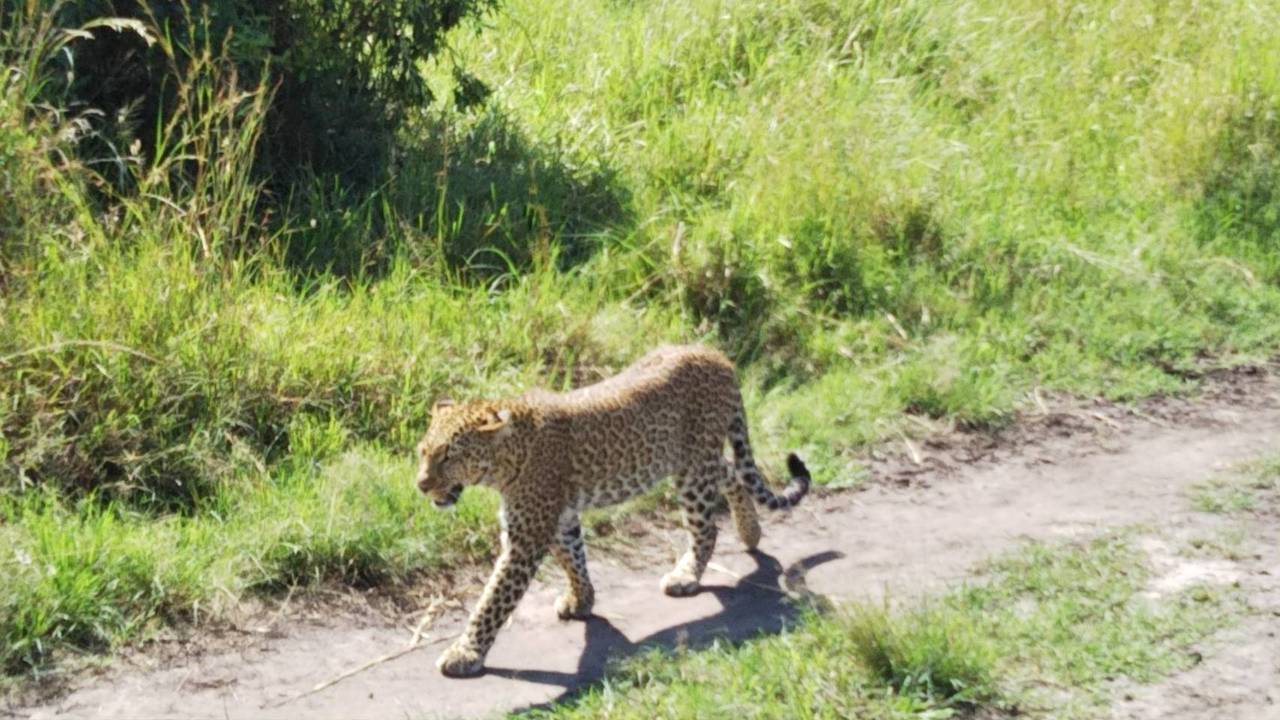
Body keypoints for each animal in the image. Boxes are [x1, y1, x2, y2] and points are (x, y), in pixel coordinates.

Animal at [412, 340, 808, 671]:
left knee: (707, 526)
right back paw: (750, 531)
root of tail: (715, 353)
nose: (421, 485)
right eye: (423, 452)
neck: (508, 457)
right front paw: (581, 600)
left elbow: (493, 600)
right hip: (694, 460)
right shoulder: (560, 516)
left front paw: (465, 653)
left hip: (693, 470)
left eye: (449, 457)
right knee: (732, 472)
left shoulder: (528, 535)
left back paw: (686, 575)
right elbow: (573, 558)